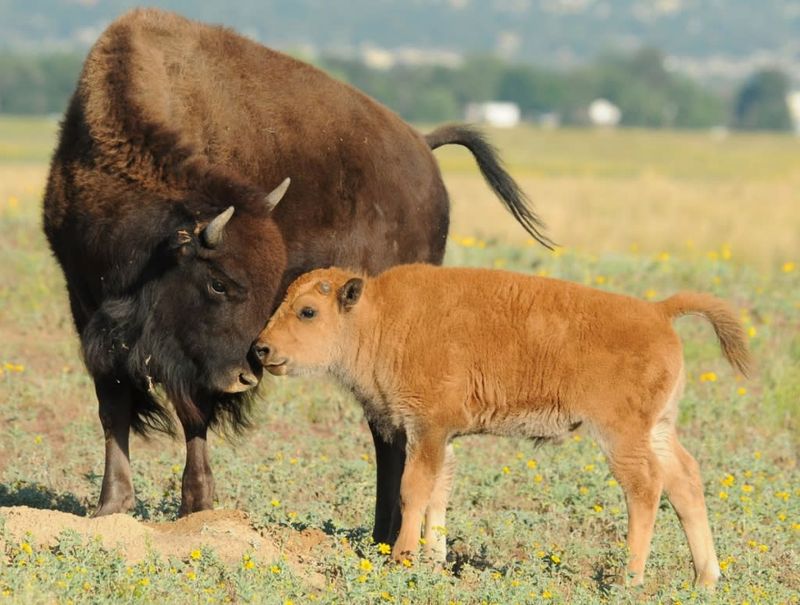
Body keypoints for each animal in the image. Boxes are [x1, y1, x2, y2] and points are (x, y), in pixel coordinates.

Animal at [42, 7, 552, 537]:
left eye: (264, 287)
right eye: (218, 283)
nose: (247, 375)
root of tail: (422, 147)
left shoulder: (191, 359)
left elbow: (192, 413)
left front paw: (197, 505)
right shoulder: (87, 309)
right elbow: (113, 406)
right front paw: (111, 507)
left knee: (388, 427)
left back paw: (384, 535)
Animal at [254, 264, 751, 588]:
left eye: (308, 311)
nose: (261, 349)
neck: (382, 318)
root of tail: (657, 312)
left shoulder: (427, 429)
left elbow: (414, 490)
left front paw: (403, 558)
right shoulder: (439, 437)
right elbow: (439, 492)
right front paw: (434, 560)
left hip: (621, 435)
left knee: (645, 488)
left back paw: (628, 579)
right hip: (659, 428)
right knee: (685, 482)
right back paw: (705, 579)